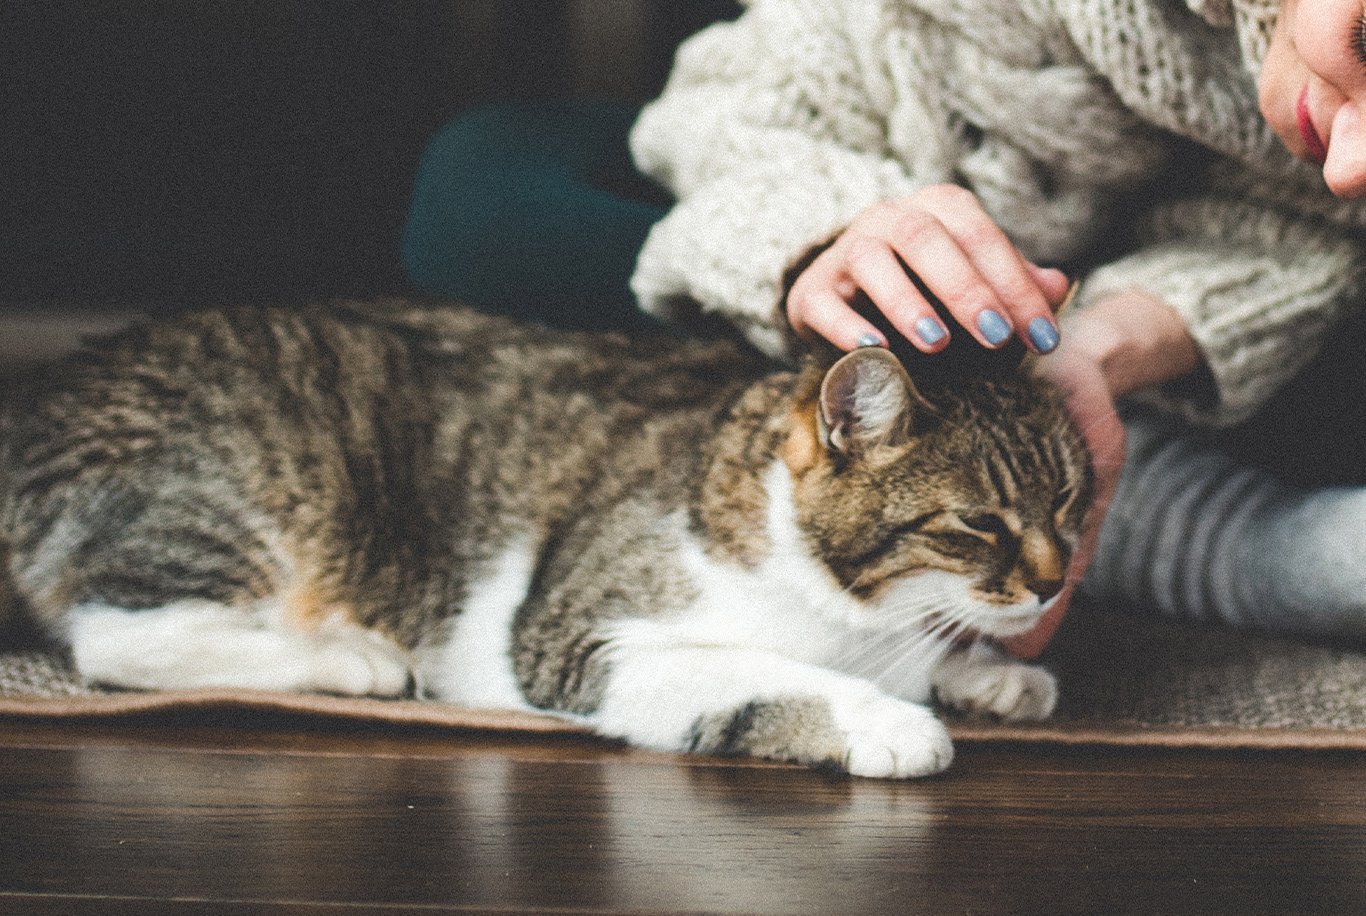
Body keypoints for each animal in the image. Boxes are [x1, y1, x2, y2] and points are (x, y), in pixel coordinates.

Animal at [0, 304, 1087, 775]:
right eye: (978, 524)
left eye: (1070, 503)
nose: (1050, 585)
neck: (859, 614)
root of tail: (40, 398)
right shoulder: (577, 639)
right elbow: (765, 677)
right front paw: (890, 721)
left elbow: (934, 653)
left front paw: (986, 674)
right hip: (261, 476)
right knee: (117, 634)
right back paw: (353, 659)